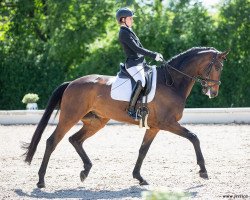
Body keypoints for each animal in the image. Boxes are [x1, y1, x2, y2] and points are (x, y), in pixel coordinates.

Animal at [23, 46, 229, 188]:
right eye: (218, 66)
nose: (214, 92)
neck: (171, 83)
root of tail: (72, 82)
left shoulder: (155, 126)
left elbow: (143, 150)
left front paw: (139, 177)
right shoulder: (168, 123)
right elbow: (194, 137)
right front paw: (203, 171)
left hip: (96, 121)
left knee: (75, 139)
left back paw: (85, 170)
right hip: (69, 117)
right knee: (52, 141)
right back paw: (41, 180)